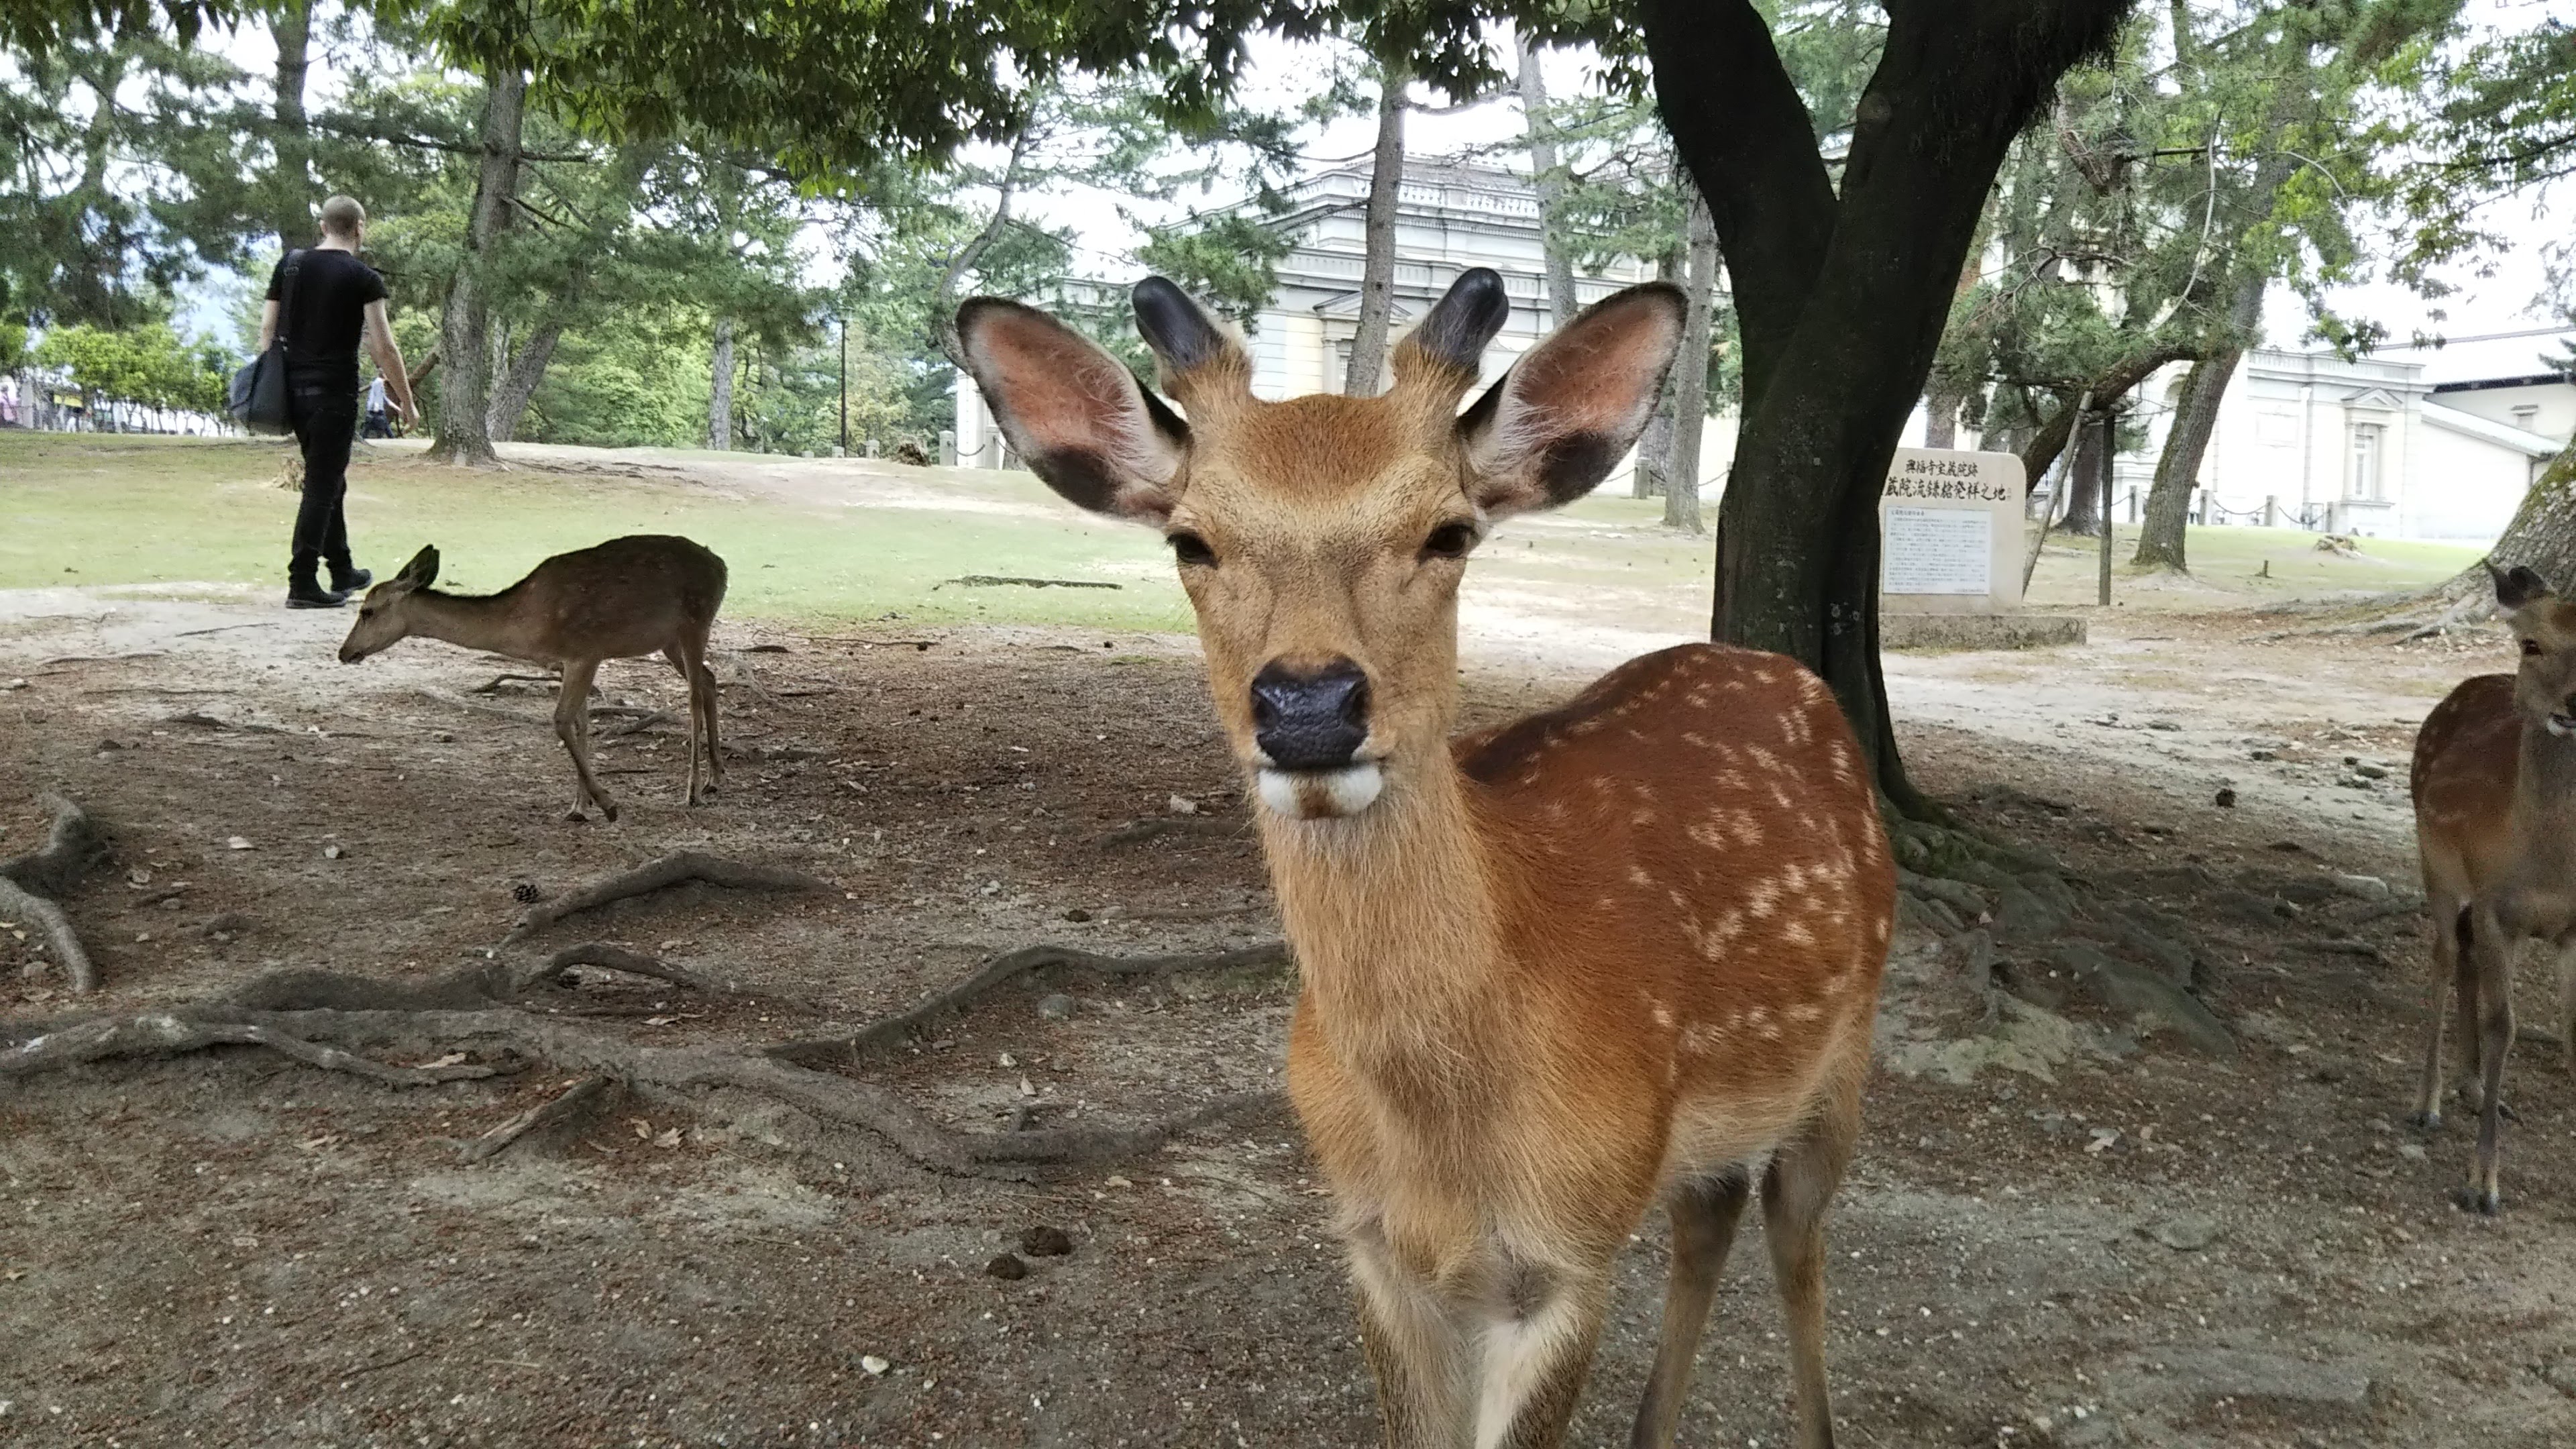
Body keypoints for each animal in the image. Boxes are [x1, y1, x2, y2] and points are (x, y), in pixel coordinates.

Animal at [337, 533, 731, 824]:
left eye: (367, 611)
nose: (344, 652)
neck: (525, 626)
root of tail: (722, 566)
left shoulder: (586, 652)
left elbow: (559, 720)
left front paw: (608, 805)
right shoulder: (568, 663)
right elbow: (580, 724)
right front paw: (578, 807)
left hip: (695, 622)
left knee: (694, 695)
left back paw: (692, 791)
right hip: (668, 641)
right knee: (710, 680)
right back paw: (716, 778)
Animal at [963, 265, 1896, 1433]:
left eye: (1447, 533)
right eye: (1190, 540)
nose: (1308, 707)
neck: (1445, 1127)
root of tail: (1788, 674)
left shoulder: (1570, 1255)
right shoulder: (1372, 1242)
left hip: (1849, 1056)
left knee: (1794, 1233)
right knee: (1712, 1211)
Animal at [2400, 559, 2576, 1212]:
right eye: (2532, 645)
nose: (2573, 703)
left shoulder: (2565, 925)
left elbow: (2572, 1030)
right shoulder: (2499, 905)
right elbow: (2507, 1026)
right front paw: (2483, 1184)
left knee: (2466, 954)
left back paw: (2476, 1088)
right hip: (2436, 862)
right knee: (2445, 955)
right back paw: (2427, 1102)